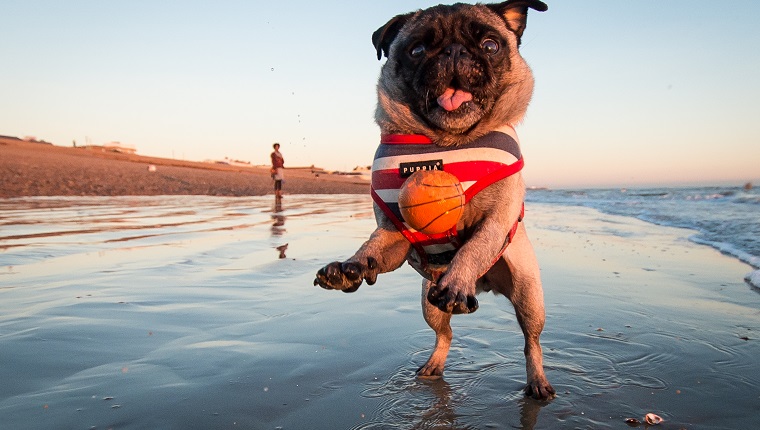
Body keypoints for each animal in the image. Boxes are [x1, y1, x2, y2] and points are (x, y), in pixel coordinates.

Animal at [312, 0, 556, 400]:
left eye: (490, 46)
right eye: (417, 50)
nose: (454, 52)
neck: (447, 142)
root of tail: (484, 285)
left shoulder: (497, 221)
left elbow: (476, 245)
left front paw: (459, 277)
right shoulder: (394, 236)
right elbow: (372, 245)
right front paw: (351, 265)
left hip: (528, 295)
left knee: (530, 341)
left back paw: (537, 380)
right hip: (430, 303)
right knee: (446, 334)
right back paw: (433, 365)